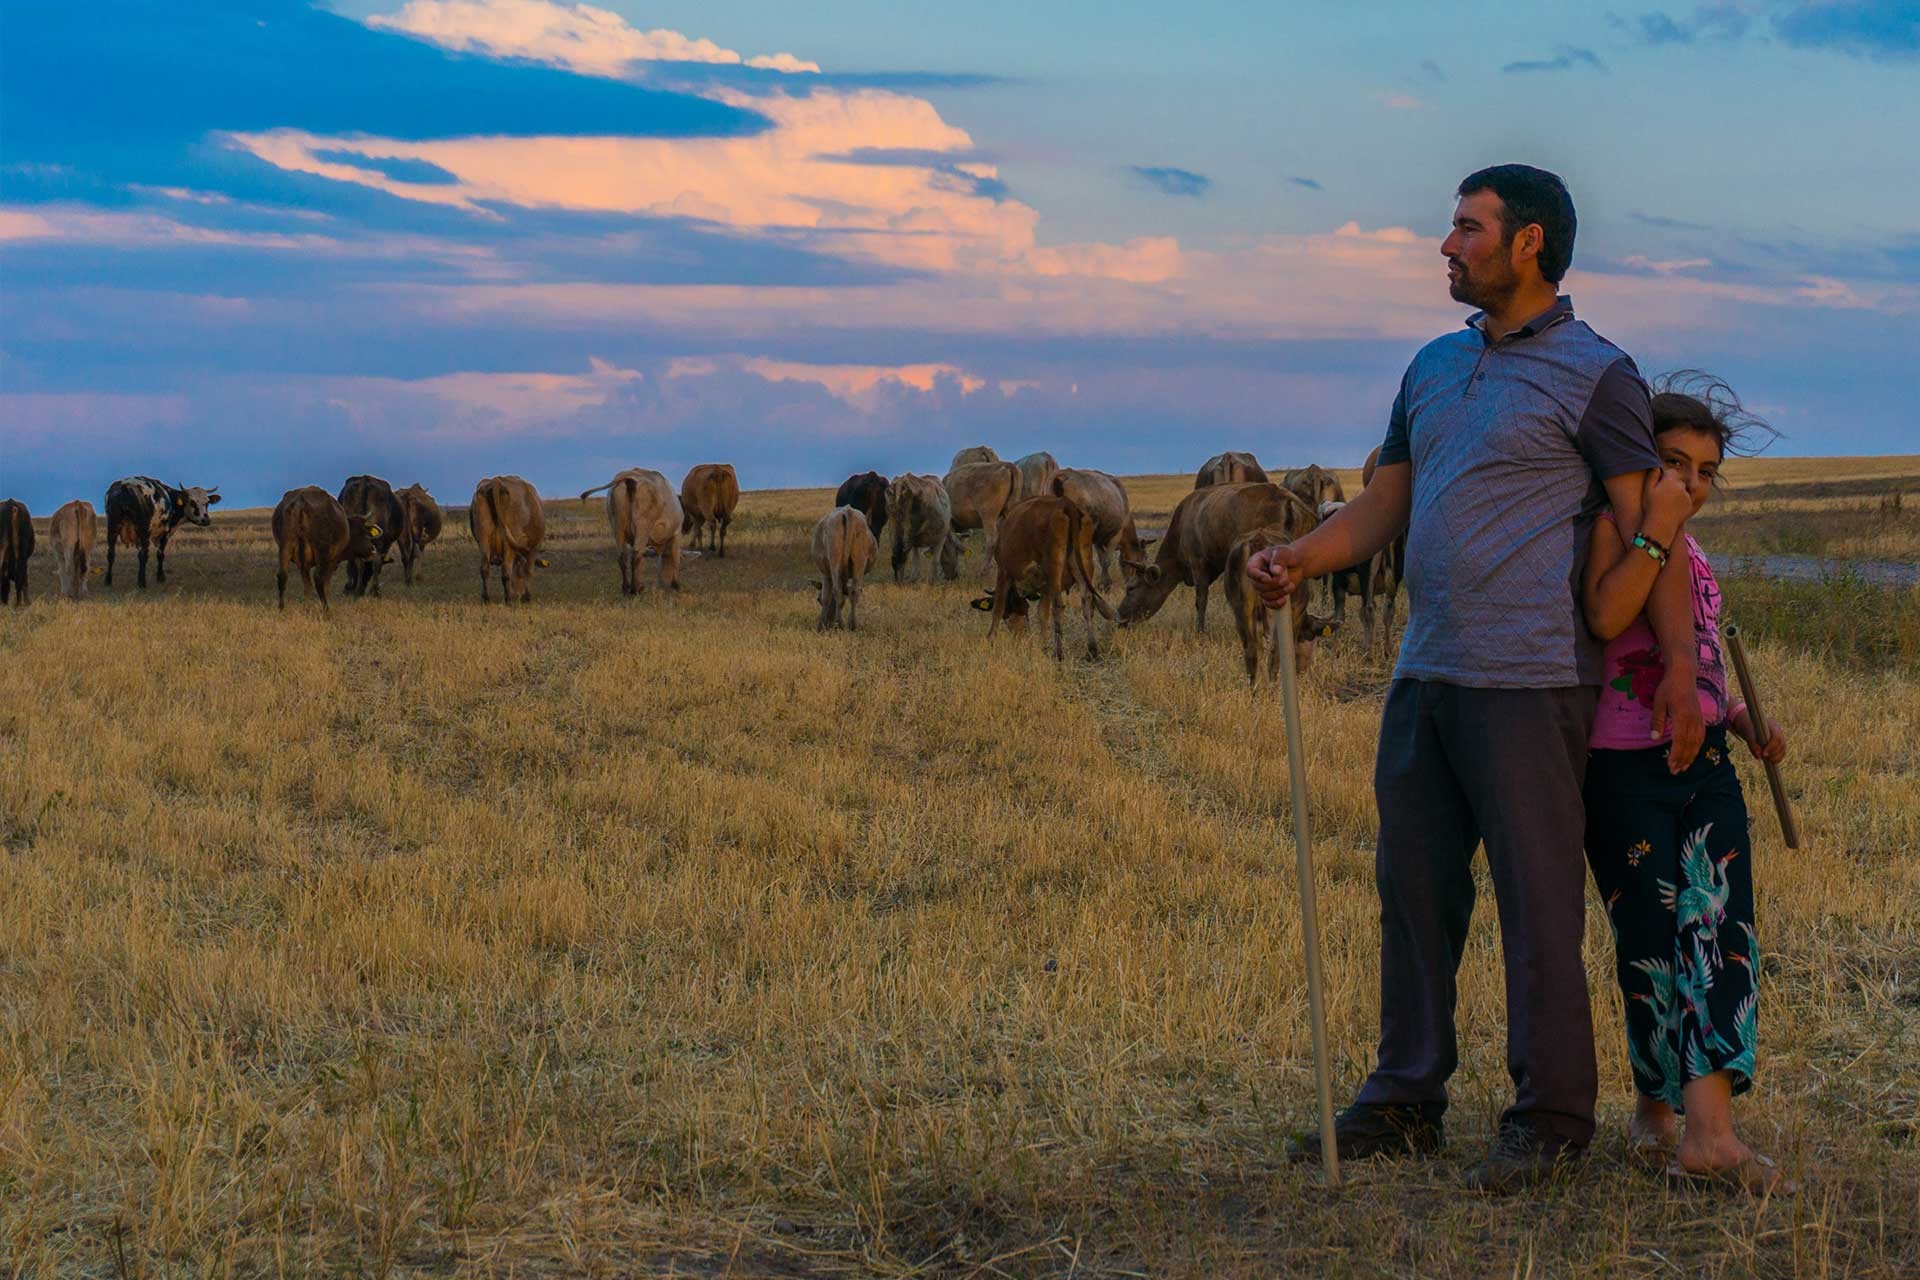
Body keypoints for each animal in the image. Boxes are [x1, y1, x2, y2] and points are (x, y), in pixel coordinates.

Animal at [270, 485, 378, 614]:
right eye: (364, 533)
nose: (373, 550)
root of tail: (300, 502)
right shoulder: (331, 562)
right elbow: (324, 585)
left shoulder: (304, 565)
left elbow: (307, 586)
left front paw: (307, 608)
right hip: (321, 555)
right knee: (318, 579)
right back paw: (326, 609)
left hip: (285, 546)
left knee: (282, 576)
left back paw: (281, 609)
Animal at [468, 475, 545, 606]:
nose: (516, 595)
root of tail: (496, 481)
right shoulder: (534, 547)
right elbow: (528, 570)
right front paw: (527, 597)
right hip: (509, 542)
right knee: (506, 570)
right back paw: (508, 599)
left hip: (483, 538)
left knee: (485, 568)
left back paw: (486, 599)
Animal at [975, 495, 1113, 660]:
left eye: (1009, 612)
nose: (1021, 635)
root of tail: (1066, 503)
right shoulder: (1045, 586)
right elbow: (1042, 613)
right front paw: (1044, 646)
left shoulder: (1004, 571)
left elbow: (998, 608)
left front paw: (990, 639)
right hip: (1084, 561)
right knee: (1087, 601)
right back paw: (1092, 650)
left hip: (1054, 565)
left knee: (1059, 606)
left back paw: (1059, 653)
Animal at [1113, 483, 1320, 633]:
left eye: (1131, 588)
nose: (1119, 617)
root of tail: (1284, 495)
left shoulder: (1198, 565)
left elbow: (1201, 600)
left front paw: (1200, 631)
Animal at [1228, 521, 1336, 690]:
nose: (1303, 670)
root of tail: (1258, 539)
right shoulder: (1296, 615)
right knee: (1274, 651)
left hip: (1241, 610)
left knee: (1251, 650)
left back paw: (1253, 691)